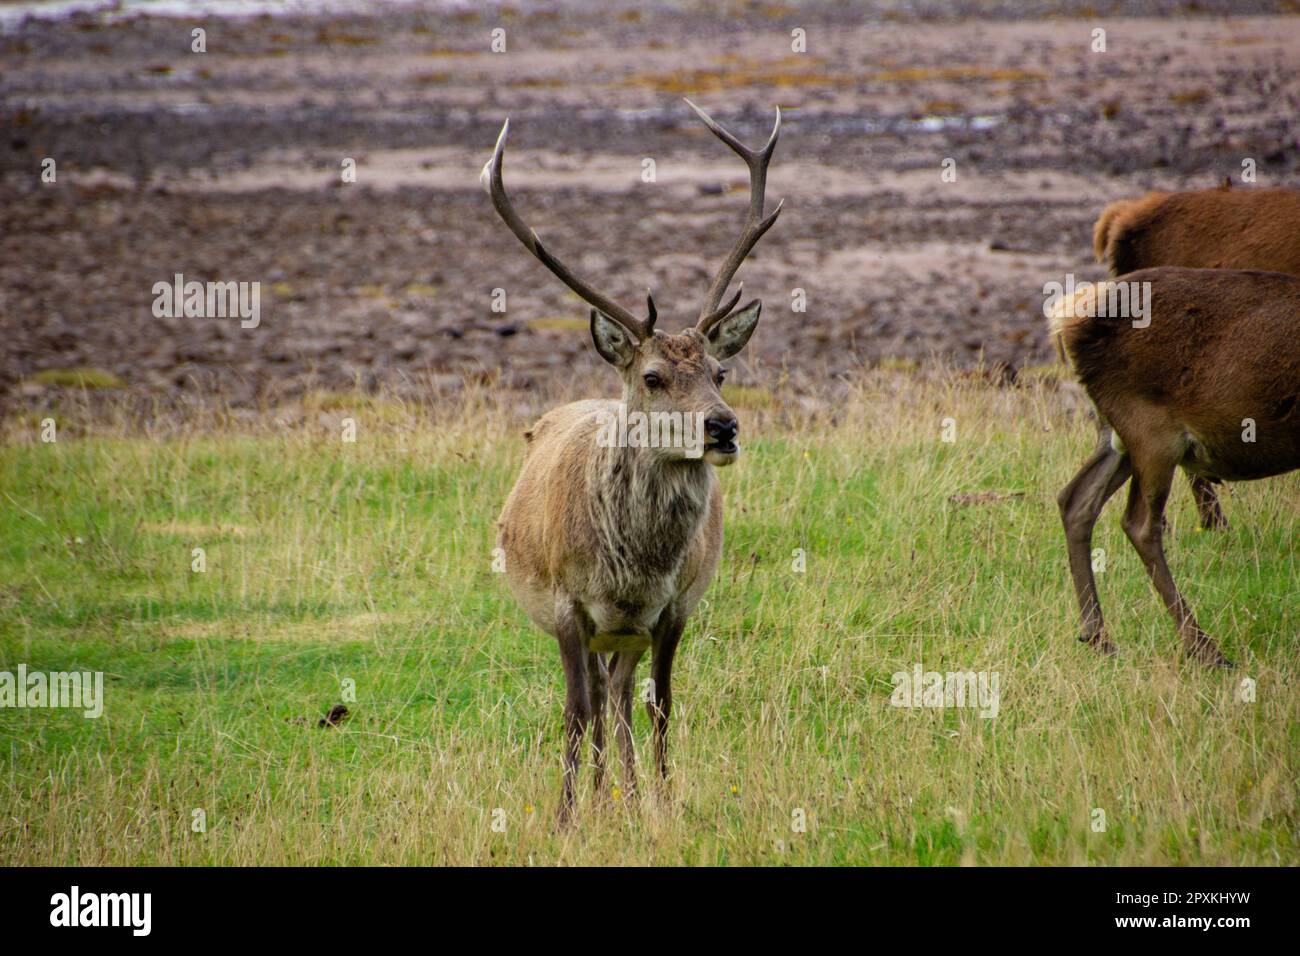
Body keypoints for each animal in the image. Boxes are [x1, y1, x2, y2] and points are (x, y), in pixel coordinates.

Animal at [482, 100, 783, 822]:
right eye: (652, 376)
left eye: (720, 372)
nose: (723, 427)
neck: (631, 571)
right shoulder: (567, 606)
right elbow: (571, 712)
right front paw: (565, 819)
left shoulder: (675, 608)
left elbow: (663, 706)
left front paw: (665, 806)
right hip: (585, 627)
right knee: (595, 698)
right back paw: (597, 797)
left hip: (625, 636)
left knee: (619, 694)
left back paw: (623, 793)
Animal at [1049, 266, 1300, 668]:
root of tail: (1066, 318)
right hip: (1152, 431)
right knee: (1139, 523)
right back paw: (1204, 648)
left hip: (1117, 436)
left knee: (1076, 499)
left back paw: (1099, 636)